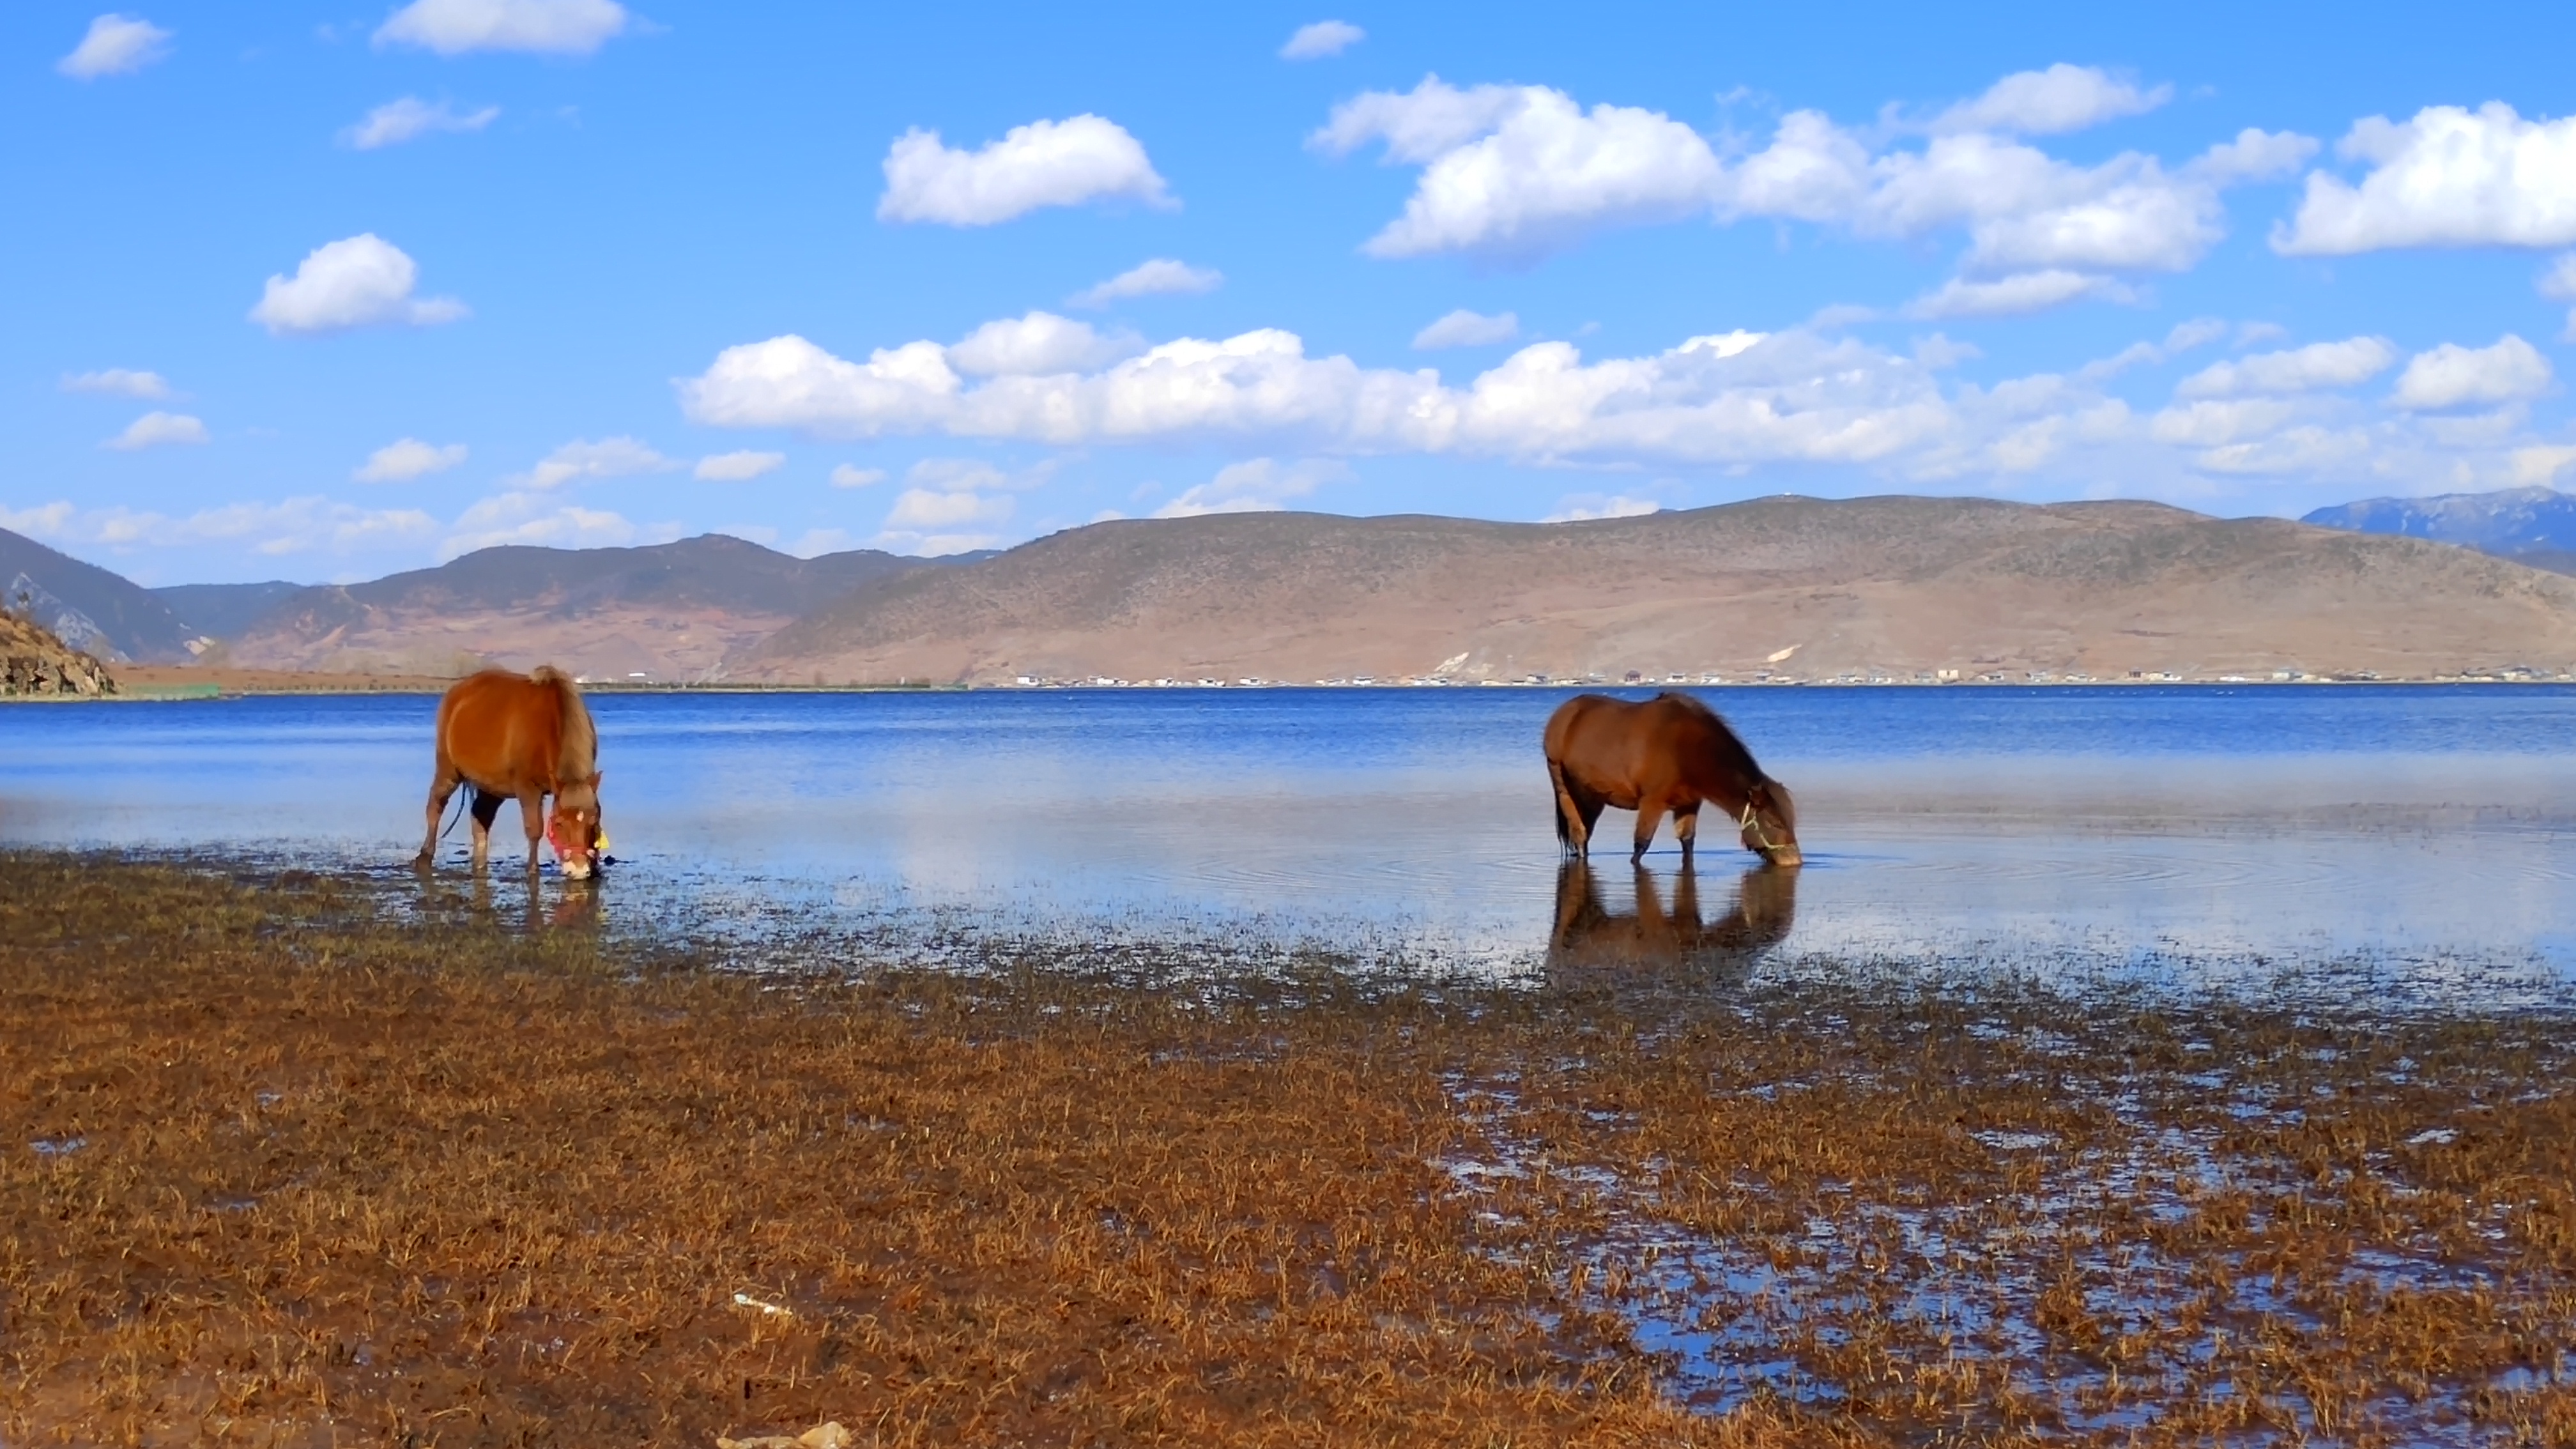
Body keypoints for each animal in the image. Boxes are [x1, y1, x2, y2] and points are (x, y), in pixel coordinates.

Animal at [417, 665, 608, 877]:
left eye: (593, 822)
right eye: (559, 823)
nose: (578, 870)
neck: (547, 725)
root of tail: (457, 692)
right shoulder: (528, 788)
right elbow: (534, 829)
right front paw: (532, 870)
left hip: (492, 786)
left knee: (480, 817)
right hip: (449, 769)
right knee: (436, 805)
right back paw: (425, 855)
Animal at [1535, 686, 1803, 855]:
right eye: (1776, 824)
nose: (1794, 861)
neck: (1685, 748)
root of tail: (1562, 714)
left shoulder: (1689, 804)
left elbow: (1688, 843)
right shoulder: (1652, 803)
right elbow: (1641, 846)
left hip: (1593, 796)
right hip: (1563, 787)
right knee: (1579, 834)